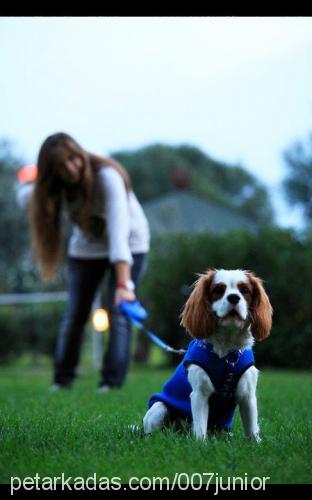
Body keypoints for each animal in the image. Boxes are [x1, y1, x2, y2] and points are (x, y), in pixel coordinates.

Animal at [143, 270, 272, 442]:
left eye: (245, 290)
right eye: (218, 290)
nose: (234, 297)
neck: (227, 354)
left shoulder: (248, 395)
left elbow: (251, 427)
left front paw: (256, 443)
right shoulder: (200, 393)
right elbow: (200, 427)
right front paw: (200, 444)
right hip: (158, 408)